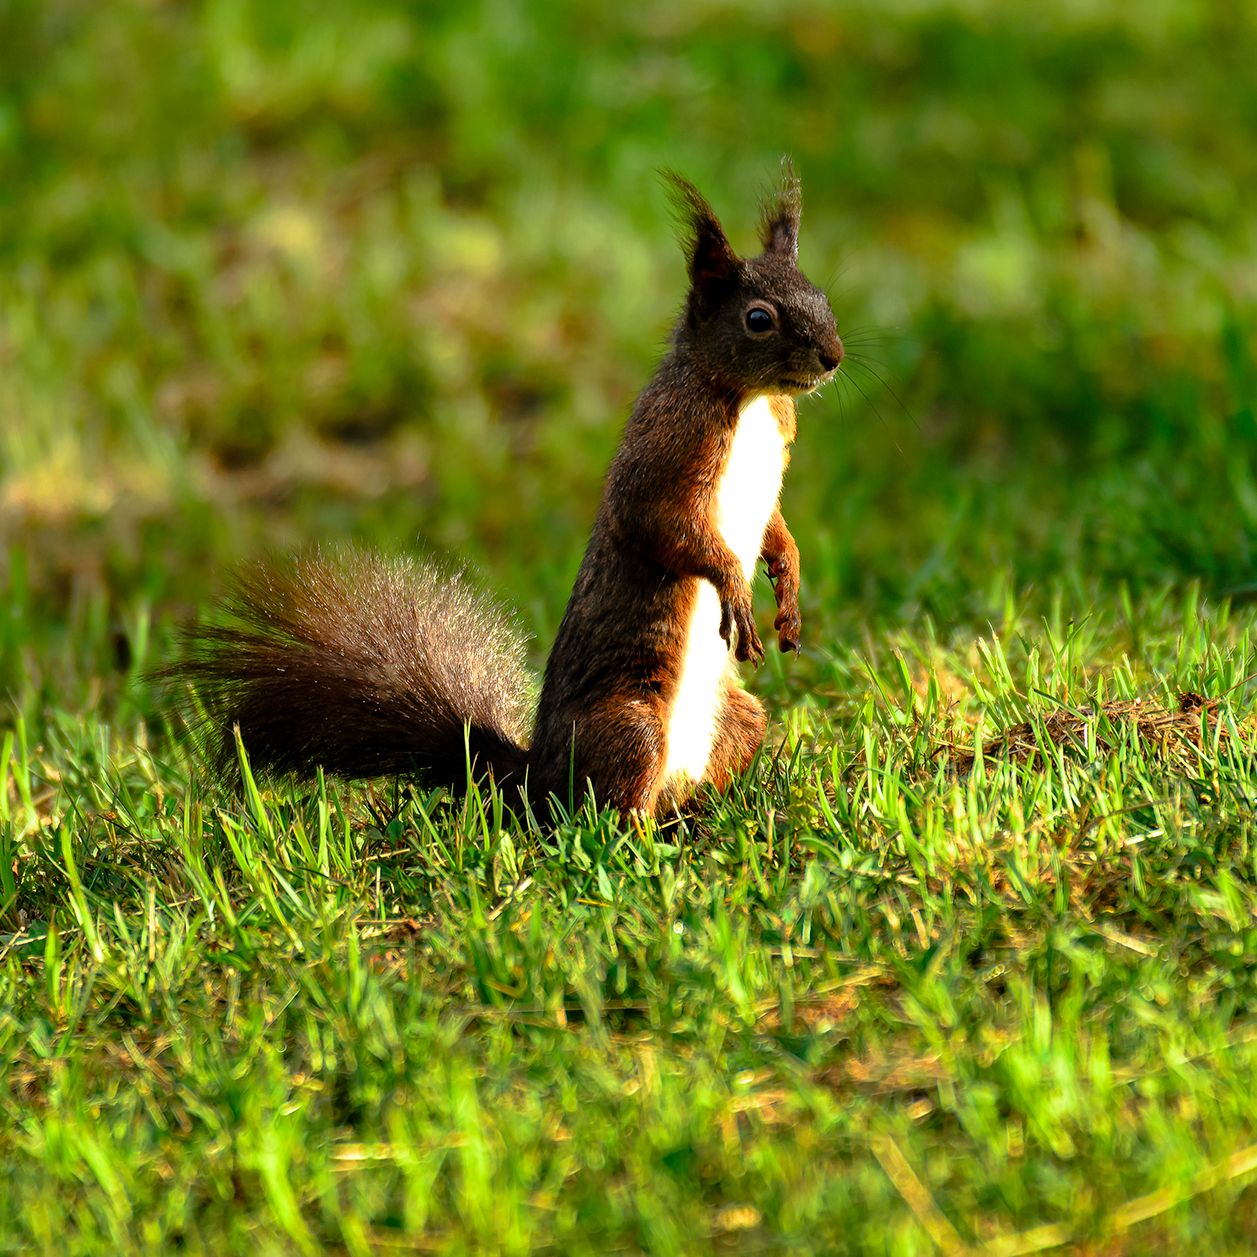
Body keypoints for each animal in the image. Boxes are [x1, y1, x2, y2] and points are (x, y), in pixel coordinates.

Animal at [176, 166, 843, 818]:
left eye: (823, 297)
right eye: (758, 319)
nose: (833, 357)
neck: (749, 399)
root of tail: (533, 777)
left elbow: (774, 526)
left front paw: (788, 582)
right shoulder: (667, 450)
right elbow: (661, 524)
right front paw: (735, 585)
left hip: (739, 718)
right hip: (632, 725)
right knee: (612, 808)